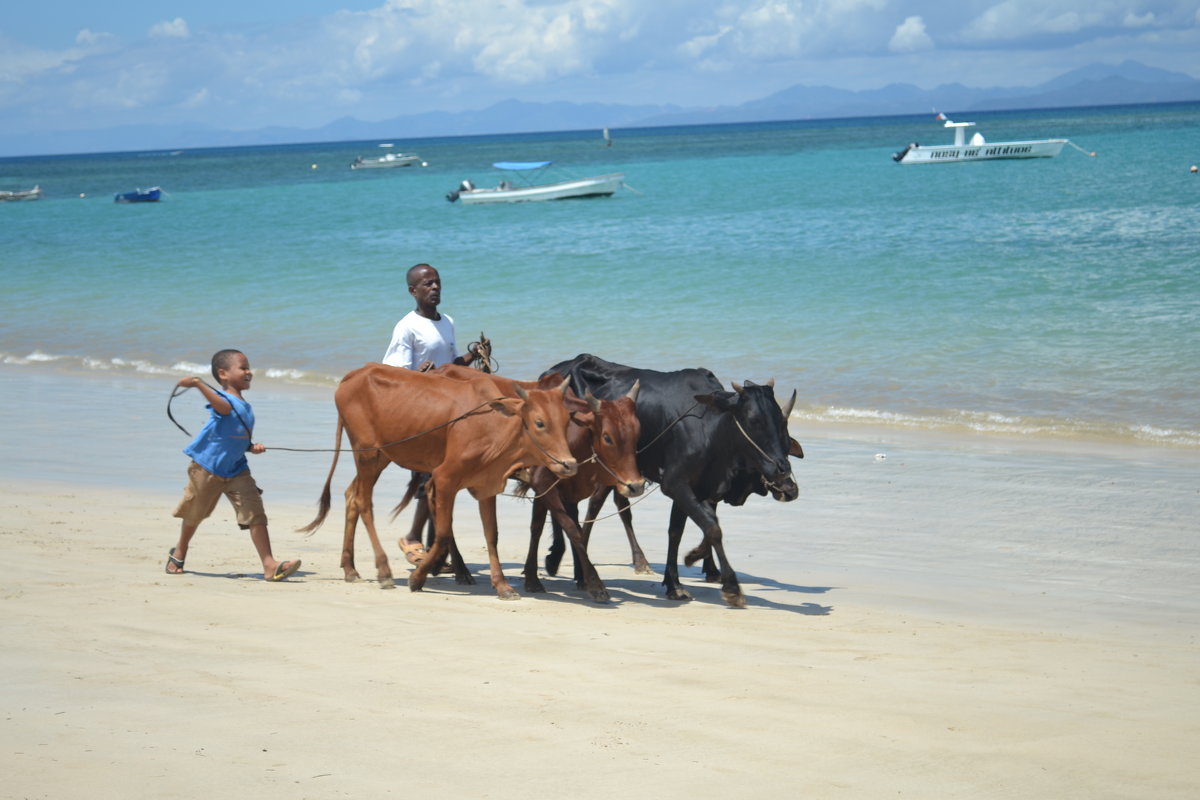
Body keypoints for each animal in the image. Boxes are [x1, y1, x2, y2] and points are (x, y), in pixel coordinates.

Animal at [302, 367, 578, 597]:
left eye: (567, 422)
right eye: (539, 423)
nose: (569, 464)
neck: (493, 427)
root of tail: (353, 375)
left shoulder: (486, 486)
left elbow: (492, 535)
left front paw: (502, 586)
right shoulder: (445, 478)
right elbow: (444, 533)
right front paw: (418, 577)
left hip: (380, 457)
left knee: (351, 495)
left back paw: (350, 568)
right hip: (367, 454)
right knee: (364, 502)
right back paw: (383, 571)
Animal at [549, 352, 801, 609]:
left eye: (782, 422)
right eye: (753, 420)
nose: (784, 473)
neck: (710, 429)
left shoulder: (698, 490)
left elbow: (681, 531)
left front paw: (678, 579)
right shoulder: (675, 484)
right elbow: (712, 528)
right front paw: (730, 586)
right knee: (581, 508)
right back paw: (573, 568)